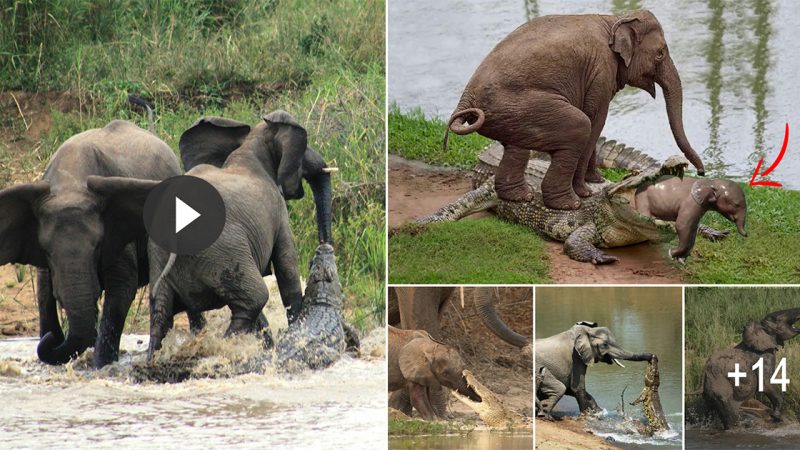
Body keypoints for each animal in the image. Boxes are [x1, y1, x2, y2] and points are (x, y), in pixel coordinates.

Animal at [0, 108, 180, 366]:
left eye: (97, 247)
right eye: (47, 252)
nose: (48, 339)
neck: (69, 184)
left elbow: (122, 288)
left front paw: (100, 366)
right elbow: (44, 293)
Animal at [446, 8, 704, 209]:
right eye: (660, 54)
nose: (701, 173)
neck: (615, 19)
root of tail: (466, 98)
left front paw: (596, 180)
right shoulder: (601, 71)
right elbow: (595, 119)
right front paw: (587, 190)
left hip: (508, 115)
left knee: (516, 147)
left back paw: (521, 196)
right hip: (519, 105)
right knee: (579, 126)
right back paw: (569, 204)